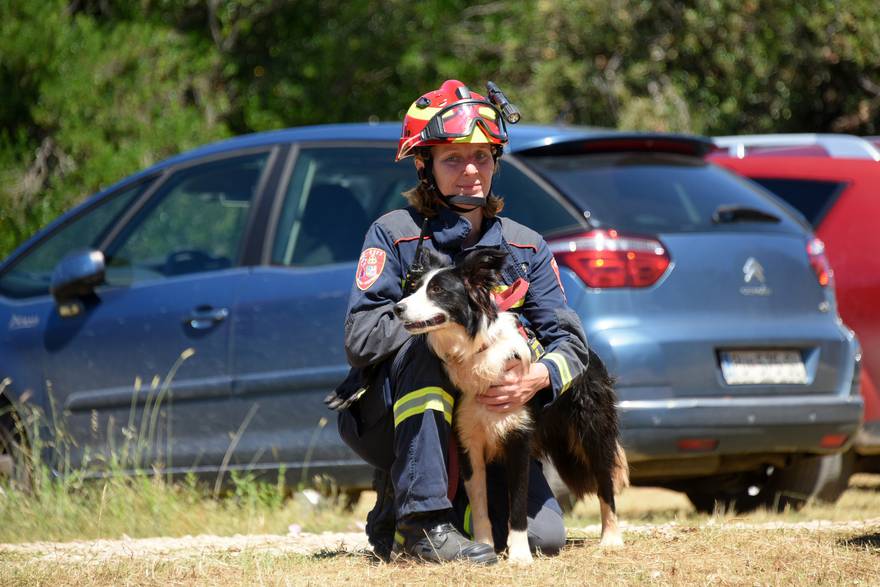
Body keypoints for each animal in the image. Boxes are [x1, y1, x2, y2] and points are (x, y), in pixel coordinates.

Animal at [396, 247, 628, 564]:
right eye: (414, 287)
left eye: (438, 290)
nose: (397, 308)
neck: (476, 350)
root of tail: (588, 352)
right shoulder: (469, 441)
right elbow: (479, 505)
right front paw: (483, 546)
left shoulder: (517, 439)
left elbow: (517, 505)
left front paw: (519, 556)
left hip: (592, 431)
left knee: (605, 481)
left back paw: (610, 539)